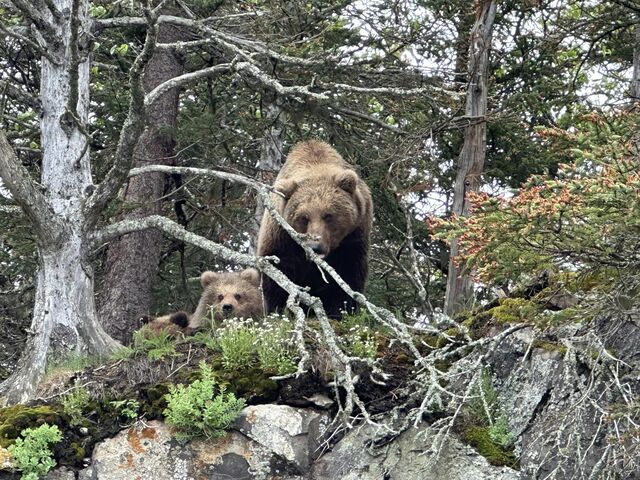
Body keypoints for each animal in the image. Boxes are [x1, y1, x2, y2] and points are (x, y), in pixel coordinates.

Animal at [256, 140, 372, 318]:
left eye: (328, 215)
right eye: (304, 217)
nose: (315, 247)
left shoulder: (354, 236)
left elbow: (348, 274)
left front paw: (342, 310)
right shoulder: (281, 235)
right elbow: (278, 272)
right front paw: (278, 311)